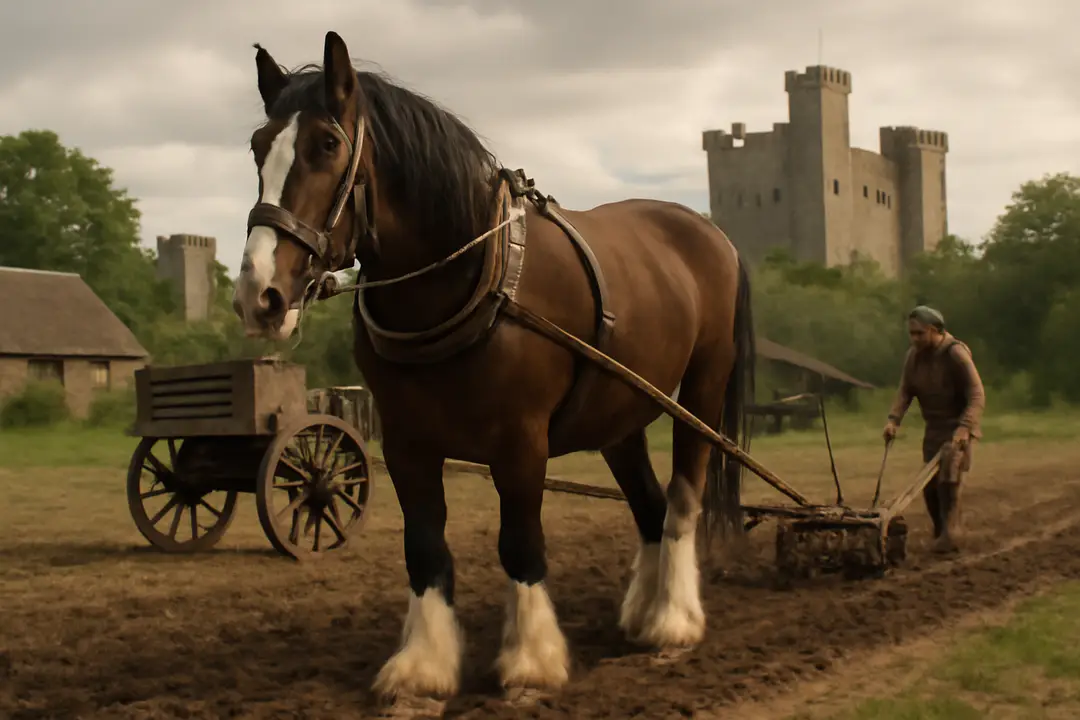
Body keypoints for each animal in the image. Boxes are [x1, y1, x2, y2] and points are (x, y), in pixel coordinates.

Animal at [232, 31, 756, 702]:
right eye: (258, 145)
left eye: (326, 143)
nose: (260, 295)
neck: (466, 277)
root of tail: (712, 233)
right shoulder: (405, 442)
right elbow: (425, 547)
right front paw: (424, 666)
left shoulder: (520, 441)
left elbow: (521, 544)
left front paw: (531, 659)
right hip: (621, 411)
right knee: (649, 507)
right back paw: (642, 613)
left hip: (700, 393)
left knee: (683, 499)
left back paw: (673, 620)